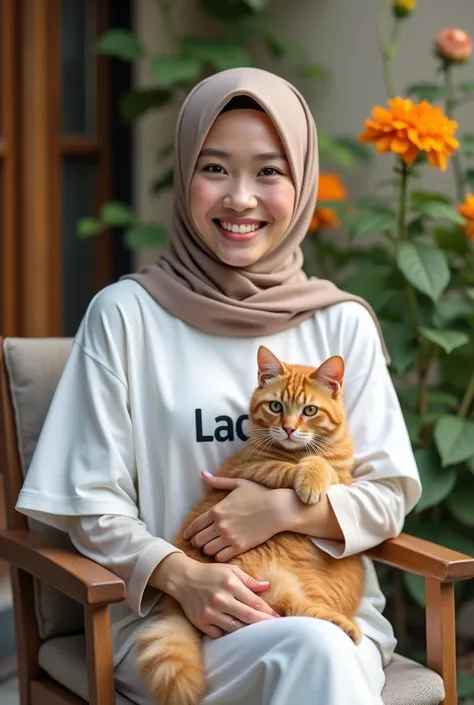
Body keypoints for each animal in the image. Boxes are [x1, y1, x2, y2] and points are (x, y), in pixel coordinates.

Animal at [135, 346, 364, 704]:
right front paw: (310, 478)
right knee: (291, 610)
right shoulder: (254, 468)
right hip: (265, 583)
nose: (288, 429)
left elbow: (330, 469)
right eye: (276, 406)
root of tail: (177, 606)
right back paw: (343, 627)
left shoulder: (344, 475)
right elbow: (300, 467)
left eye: (309, 410)